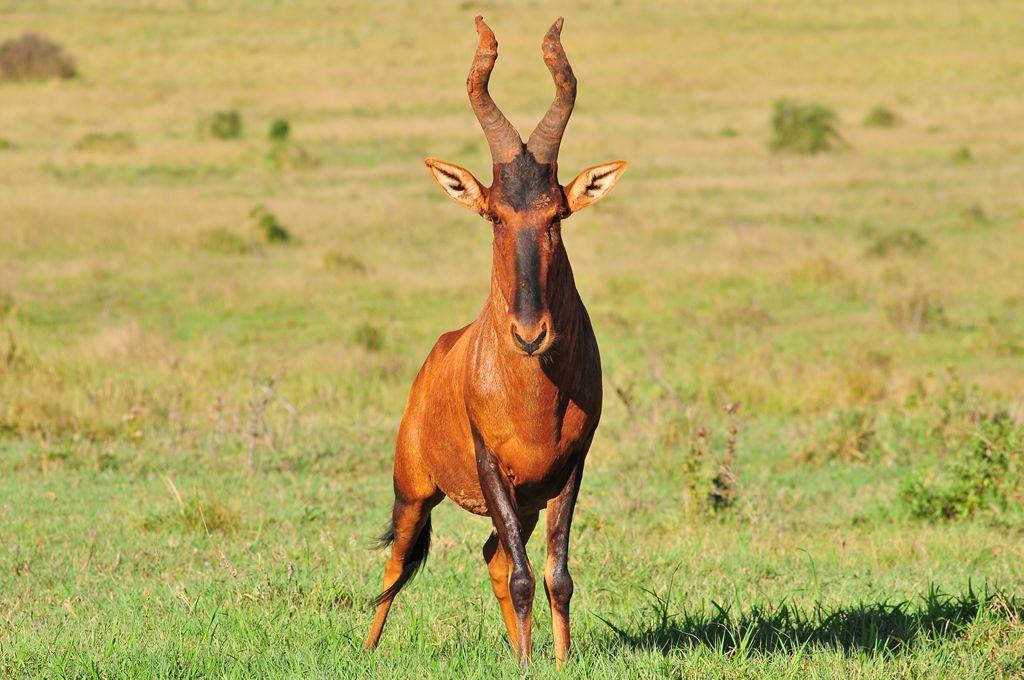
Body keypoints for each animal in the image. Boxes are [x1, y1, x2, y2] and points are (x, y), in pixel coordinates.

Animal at [364, 17, 626, 667]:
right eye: (496, 214)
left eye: (556, 214)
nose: (530, 334)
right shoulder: (489, 467)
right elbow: (526, 577)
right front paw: (534, 663)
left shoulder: (569, 470)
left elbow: (556, 576)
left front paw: (553, 660)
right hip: (413, 489)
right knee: (397, 560)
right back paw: (368, 646)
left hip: (527, 503)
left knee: (494, 557)